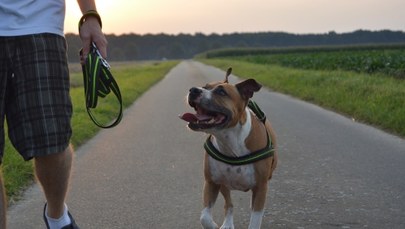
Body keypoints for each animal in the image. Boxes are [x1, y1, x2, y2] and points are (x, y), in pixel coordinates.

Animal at [180, 68, 278, 229]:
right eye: (204, 86)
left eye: (221, 92)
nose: (193, 90)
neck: (230, 142)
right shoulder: (211, 183)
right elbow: (204, 217)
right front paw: (214, 226)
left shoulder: (261, 188)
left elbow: (255, 221)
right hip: (224, 185)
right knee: (229, 204)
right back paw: (227, 223)